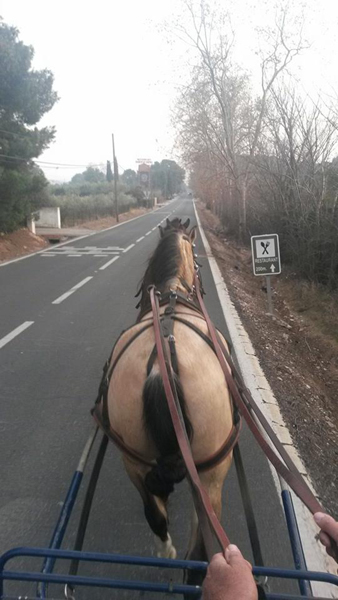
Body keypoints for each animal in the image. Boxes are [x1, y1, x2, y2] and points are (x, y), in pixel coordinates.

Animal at [93, 217, 240, 580]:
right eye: (198, 262)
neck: (173, 292)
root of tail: (162, 367)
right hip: (212, 473)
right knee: (202, 543)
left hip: (134, 460)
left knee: (155, 513)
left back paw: (165, 551)